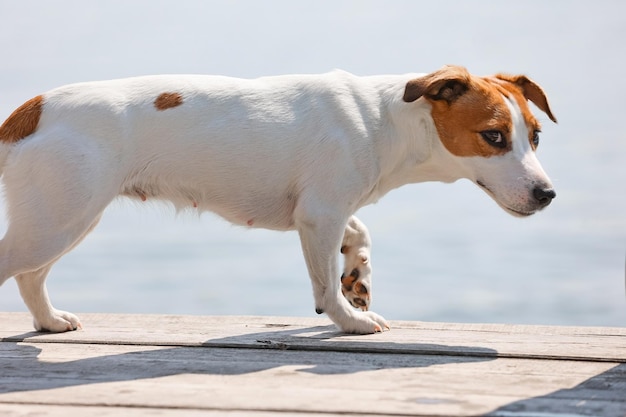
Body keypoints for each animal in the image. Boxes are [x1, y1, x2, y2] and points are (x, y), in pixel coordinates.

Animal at [0, 66, 556, 334]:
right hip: (57, 221)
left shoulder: (319, 212)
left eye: (534, 136)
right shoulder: (320, 215)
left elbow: (358, 234)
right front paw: (352, 319)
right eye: (493, 137)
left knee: (32, 279)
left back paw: (49, 321)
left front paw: (358, 274)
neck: (385, 120)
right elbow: (325, 289)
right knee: (21, 269)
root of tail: (31, 109)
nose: (548, 194)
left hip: (63, 219)